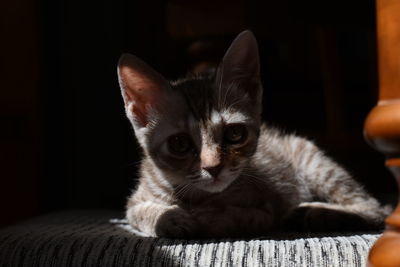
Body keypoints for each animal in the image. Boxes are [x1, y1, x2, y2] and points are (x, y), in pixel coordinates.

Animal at [118, 30, 390, 239]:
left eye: (235, 133)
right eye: (179, 143)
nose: (213, 168)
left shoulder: (265, 209)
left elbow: (236, 217)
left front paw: (207, 217)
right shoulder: (135, 200)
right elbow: (140, 212)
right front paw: (171, 217)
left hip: (315, 164)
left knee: (374, 207)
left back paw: (316, 212)